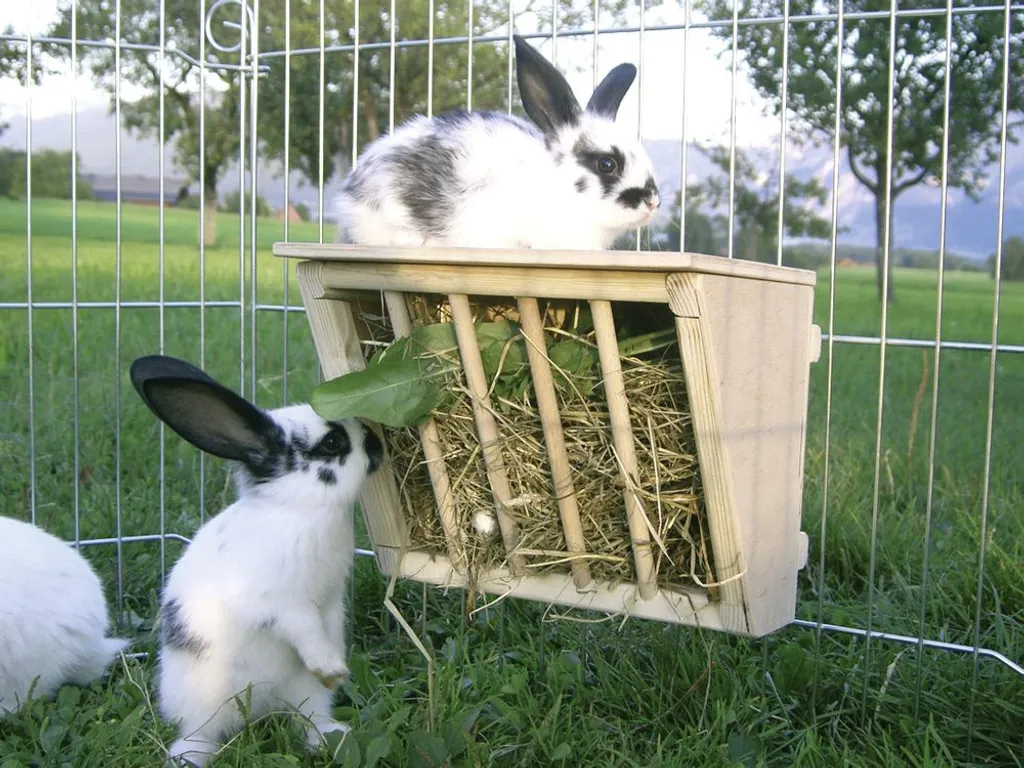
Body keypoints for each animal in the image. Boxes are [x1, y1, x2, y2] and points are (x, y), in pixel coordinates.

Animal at [129, 355, 384, 767]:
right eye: (332, 442)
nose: (377, 444)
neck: (299, 507)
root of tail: (262, 706)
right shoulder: (280, 604)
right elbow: (305, 630)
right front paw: (332, 668)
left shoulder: (330, 601)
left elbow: (328, 629)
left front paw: (337, 668)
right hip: (204, 702)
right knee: (200, 734)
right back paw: (188, 757)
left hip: (304, 693)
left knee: (308, 717)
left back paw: (332, 738)